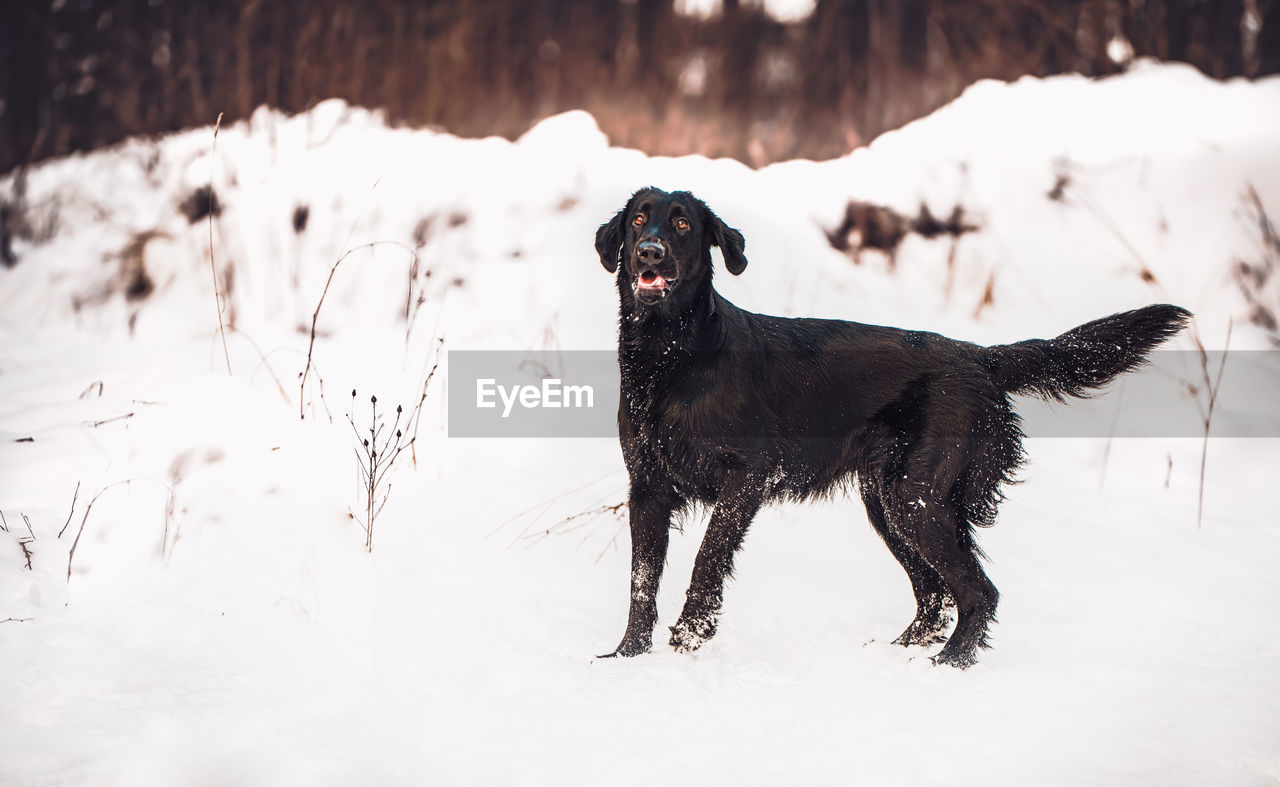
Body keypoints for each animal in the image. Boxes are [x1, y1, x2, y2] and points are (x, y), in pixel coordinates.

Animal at [593, 188, 1192, 670]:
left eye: (683, 224)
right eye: (639, 220)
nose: (650, 252)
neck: (671, 358)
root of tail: (979, 356)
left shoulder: (748, 478)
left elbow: (707, 558)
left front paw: (691, 635)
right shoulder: (646, 488)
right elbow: (641, 580)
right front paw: (627, 657)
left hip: (915, 498)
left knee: (978, 592)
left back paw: (948, 665)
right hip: (888, 501)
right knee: (935, 596)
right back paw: (899, 654)